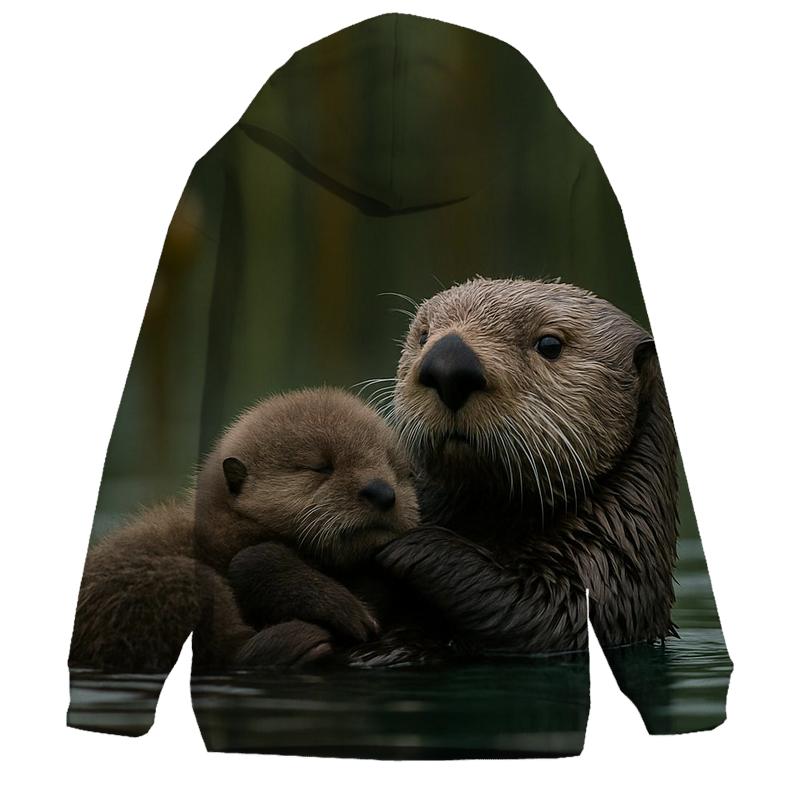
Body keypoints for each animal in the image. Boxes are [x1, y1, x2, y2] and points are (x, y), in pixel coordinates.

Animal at [69, 387, 420, 672]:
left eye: (398, 471)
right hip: (165, 586)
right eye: (322, 467)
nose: (382, 491)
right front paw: (353, 614)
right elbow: (254, 562)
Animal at [375, 278, 679, 654]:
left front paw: (406, 544)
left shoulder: (609, 569)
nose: (448, 365)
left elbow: (553, 612)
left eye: (550, 344)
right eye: (423, 335)